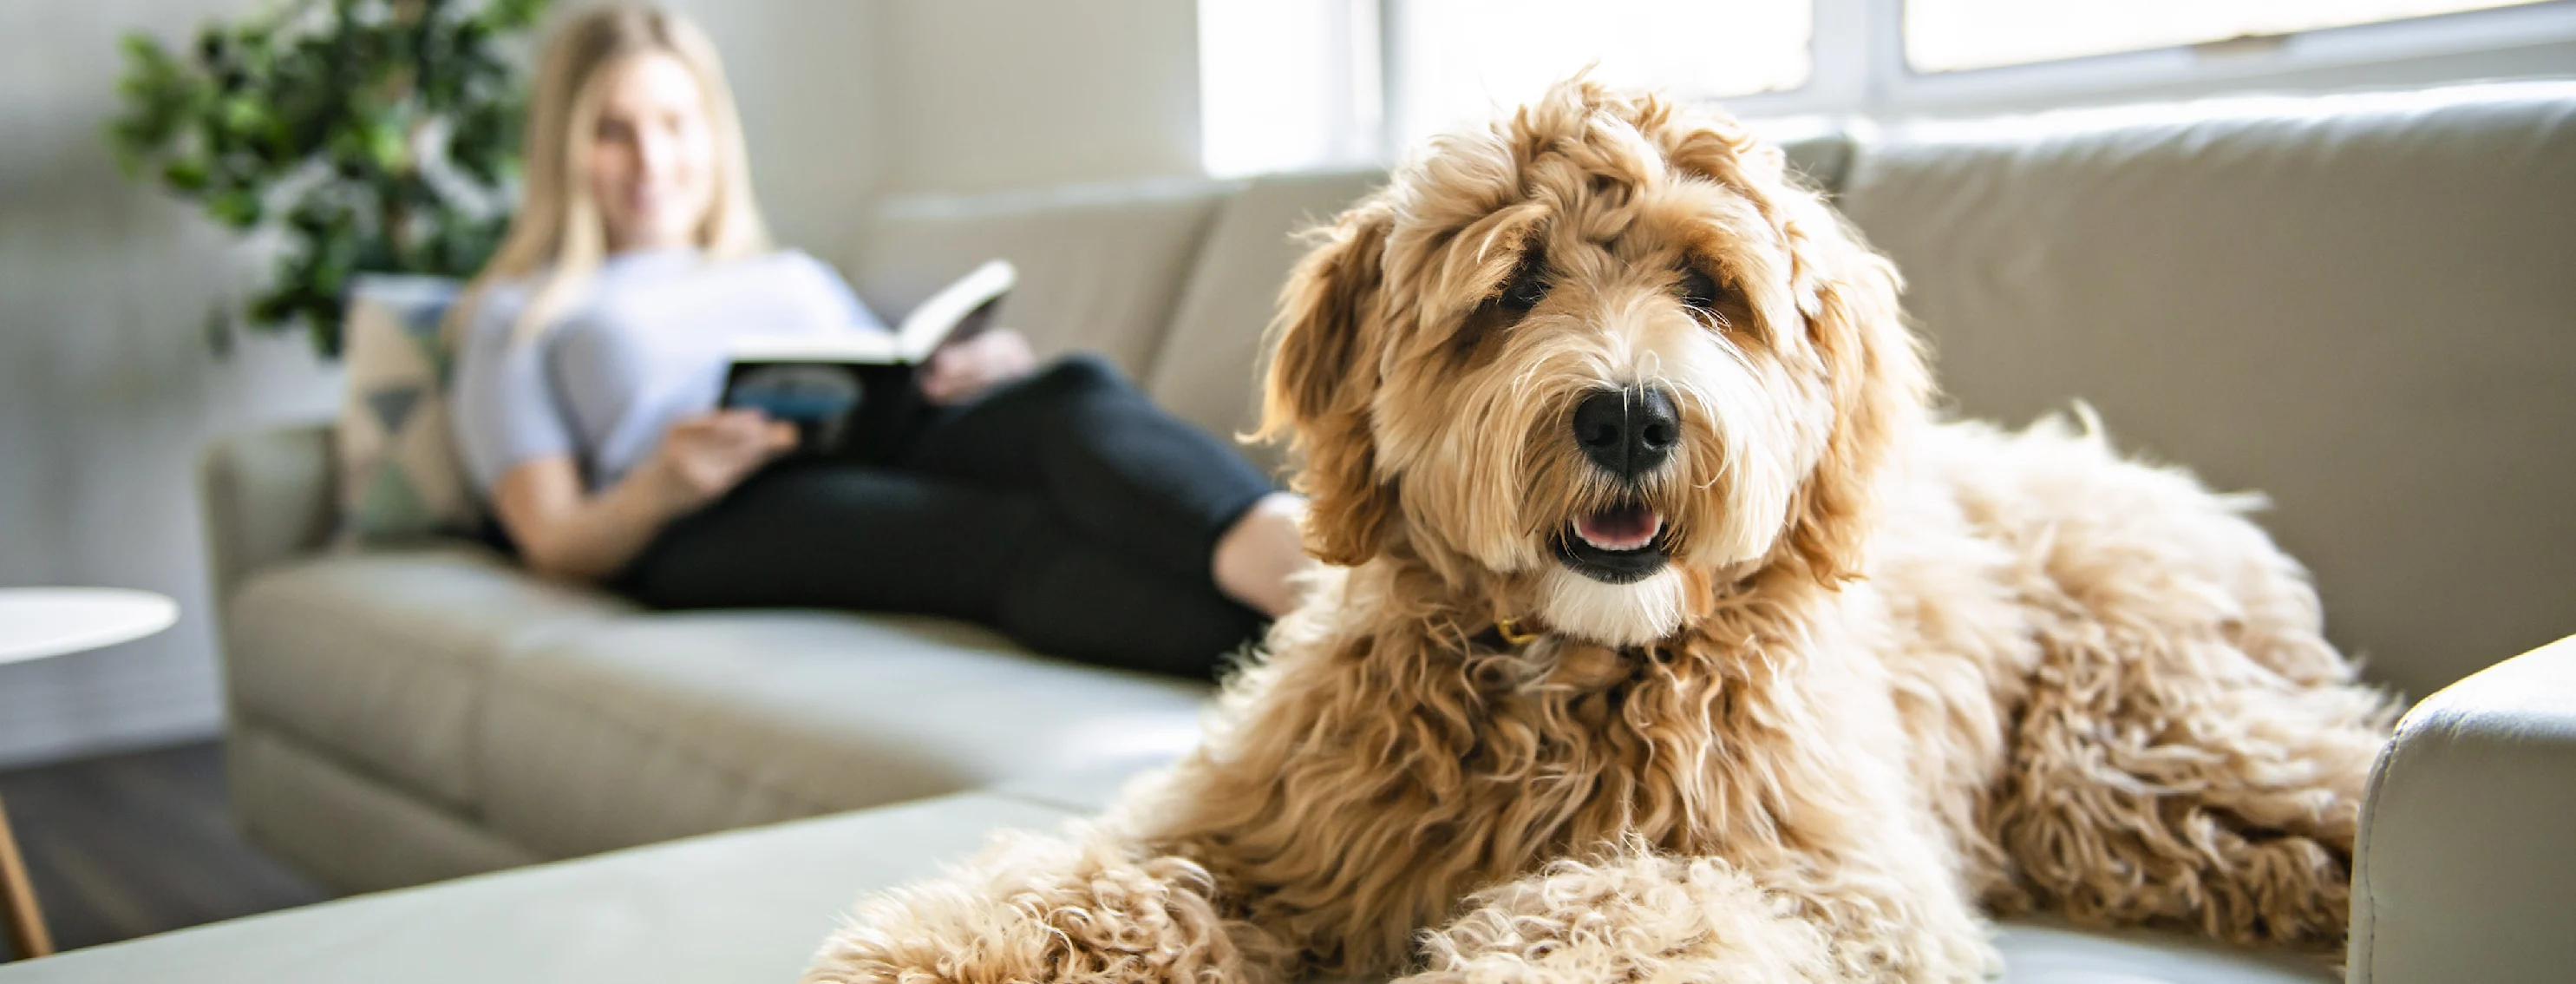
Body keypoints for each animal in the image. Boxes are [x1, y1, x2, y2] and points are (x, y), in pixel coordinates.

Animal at [798, 78, 2390, 984]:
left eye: (1708, 288)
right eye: (1511, 288)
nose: (1629, 417)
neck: (1563, 672)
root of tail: (2162, 485)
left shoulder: (1832, 884)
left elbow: (1634, 910)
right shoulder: (1253, 833)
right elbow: (1092, 889)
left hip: (2138, 744)